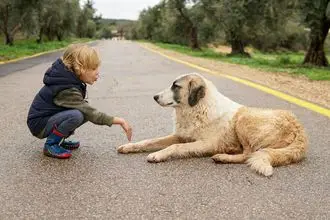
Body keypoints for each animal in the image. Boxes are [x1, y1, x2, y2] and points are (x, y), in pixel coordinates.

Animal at [117, 73, 308, 176]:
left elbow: (176, 147)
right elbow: (150, 141)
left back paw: (223, 157)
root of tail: (299, 128)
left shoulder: (206, 144)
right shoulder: (180, 136)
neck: (196, 108)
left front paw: (158, 155)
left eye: (175, 86)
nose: (155, 97)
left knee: (249, 154)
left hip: (243, 120)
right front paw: (129, 146)